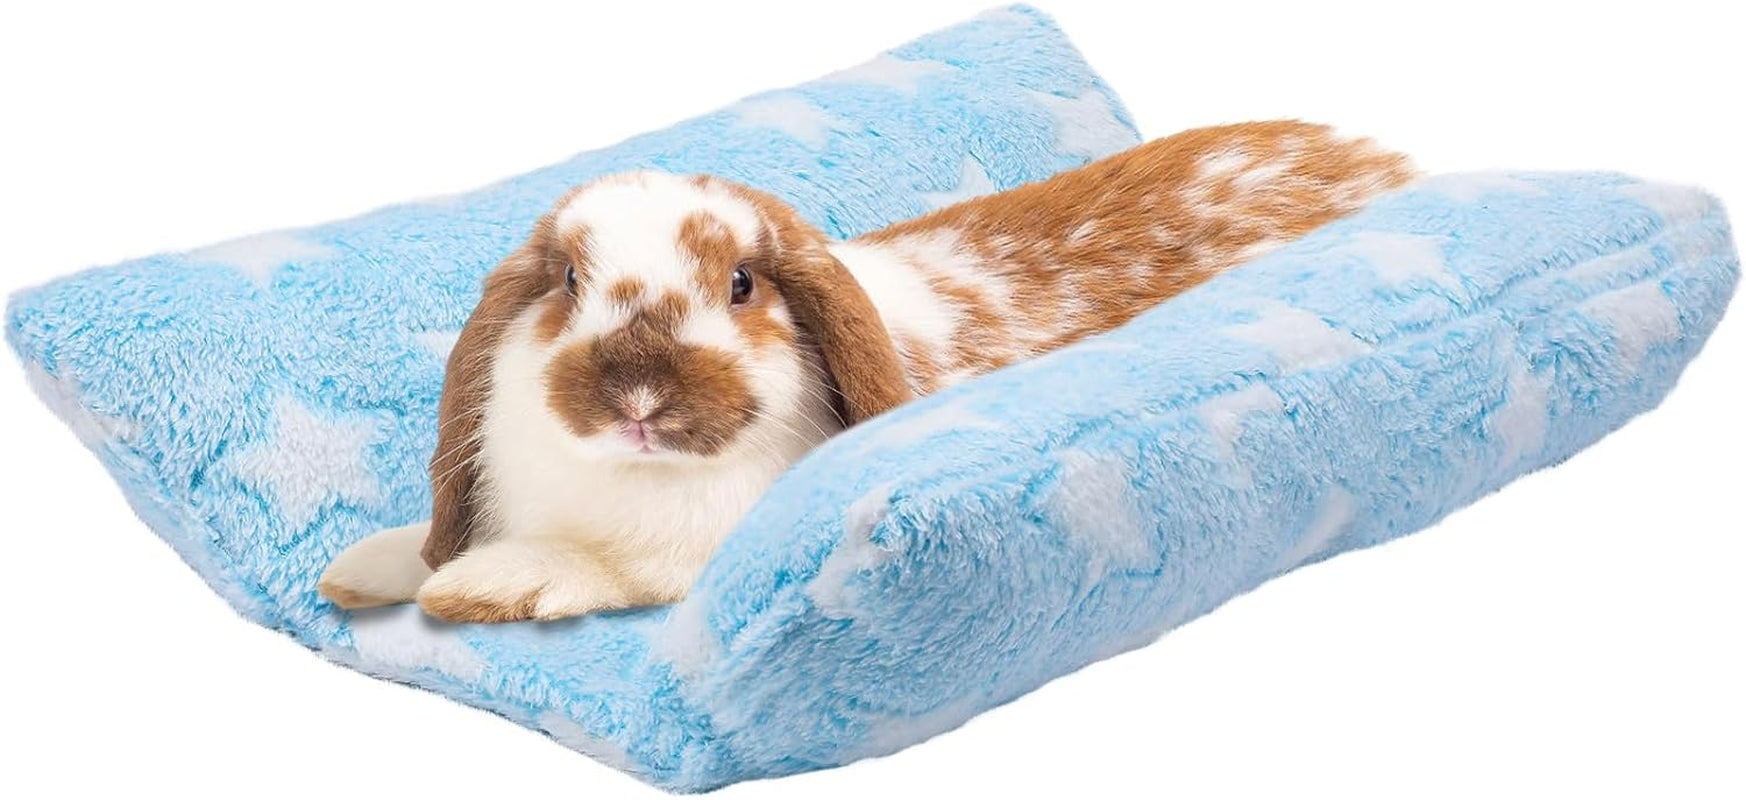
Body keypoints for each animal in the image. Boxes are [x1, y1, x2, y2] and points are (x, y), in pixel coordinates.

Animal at [318, 120, 1417, 623]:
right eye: (569, 281)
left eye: (743, 282)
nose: (638, 395)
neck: (632, 478)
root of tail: (1382, 160)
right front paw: (361, 568)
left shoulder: (683, 557)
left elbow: (603, 568)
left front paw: (485, 583)